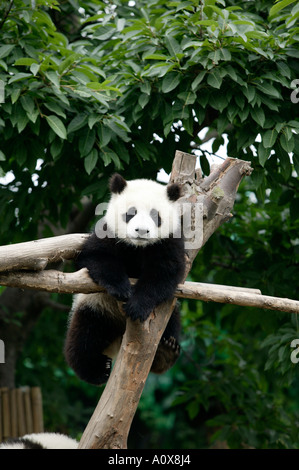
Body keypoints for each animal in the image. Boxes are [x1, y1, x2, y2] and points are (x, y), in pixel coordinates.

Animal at [64, 173, 186, 386]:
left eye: (156, 216)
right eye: (131, 213)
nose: (141, 231)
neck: (138, 247)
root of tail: (117, 342)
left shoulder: (169, 241)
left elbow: (165, 273)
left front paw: (136, 306)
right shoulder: (107, 232)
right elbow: (97, 257)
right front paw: (122, 289)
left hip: (169, 314)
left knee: (170, 326)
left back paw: (166, 351)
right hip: (96, 308)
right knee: (83, 339)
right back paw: (98, 370)